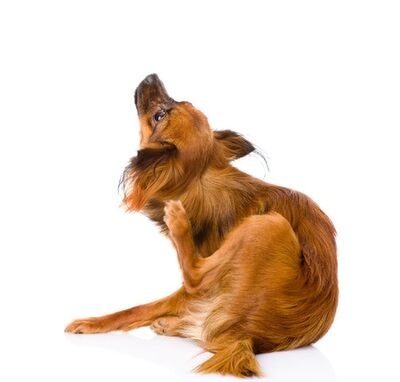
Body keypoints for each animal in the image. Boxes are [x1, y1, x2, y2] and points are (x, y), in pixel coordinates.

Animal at [66, 73, 338, 378]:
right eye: (180, 102)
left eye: (159, 116)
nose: (151, 77)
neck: (198, 180)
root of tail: (250, 337)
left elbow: (142, 306)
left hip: (268, 225)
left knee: (194, 279)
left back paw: (178, 224)